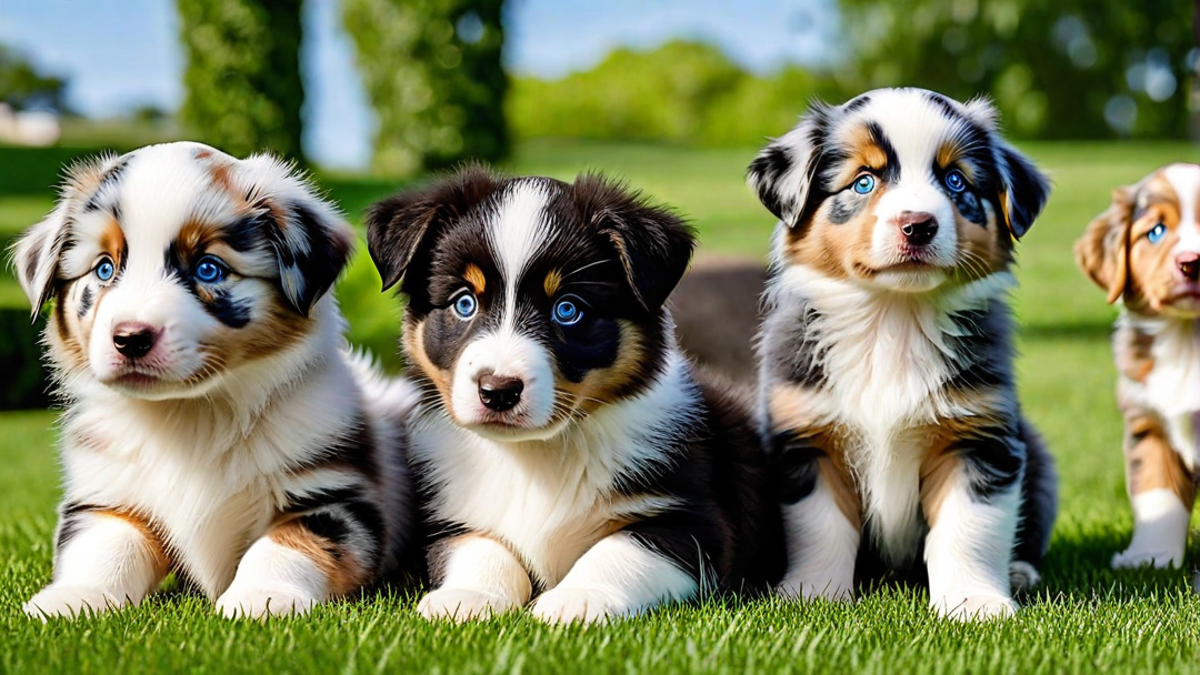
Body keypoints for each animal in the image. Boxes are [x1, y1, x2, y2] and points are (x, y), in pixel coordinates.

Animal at [12, 141, 417, 619]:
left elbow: (285, 546)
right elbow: (103, 546)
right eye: (104, 269)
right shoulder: (107, 492)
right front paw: (73, 597)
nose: (130, 338)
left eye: (208, 269)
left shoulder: (333, 496)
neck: (191, 415)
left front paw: (261, 598)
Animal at [364, 165, 787, 624]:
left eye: (567, 309)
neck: (535, 457)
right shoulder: (448, 516)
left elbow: (620, 548)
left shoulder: (693, 519)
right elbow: (479, 548)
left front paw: (578, 597)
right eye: (464, 303)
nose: (498, 391)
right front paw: (468, 596)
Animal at [748, 86, 1060, 619]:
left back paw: (1019, 571)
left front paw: (975, 604)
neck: (893, 320)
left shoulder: (978, 439)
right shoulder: (808, 438)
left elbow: (968, 530)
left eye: (956, 180)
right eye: (863, 181)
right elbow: (821, 529)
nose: (918, 225)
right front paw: (812, 596)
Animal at [1080, 163, 1200, 566]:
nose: (1191, 263)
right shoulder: (1148, 422)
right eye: (1156, 231)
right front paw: (1151, 557)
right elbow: (1157, 493)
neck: (1187, 339)